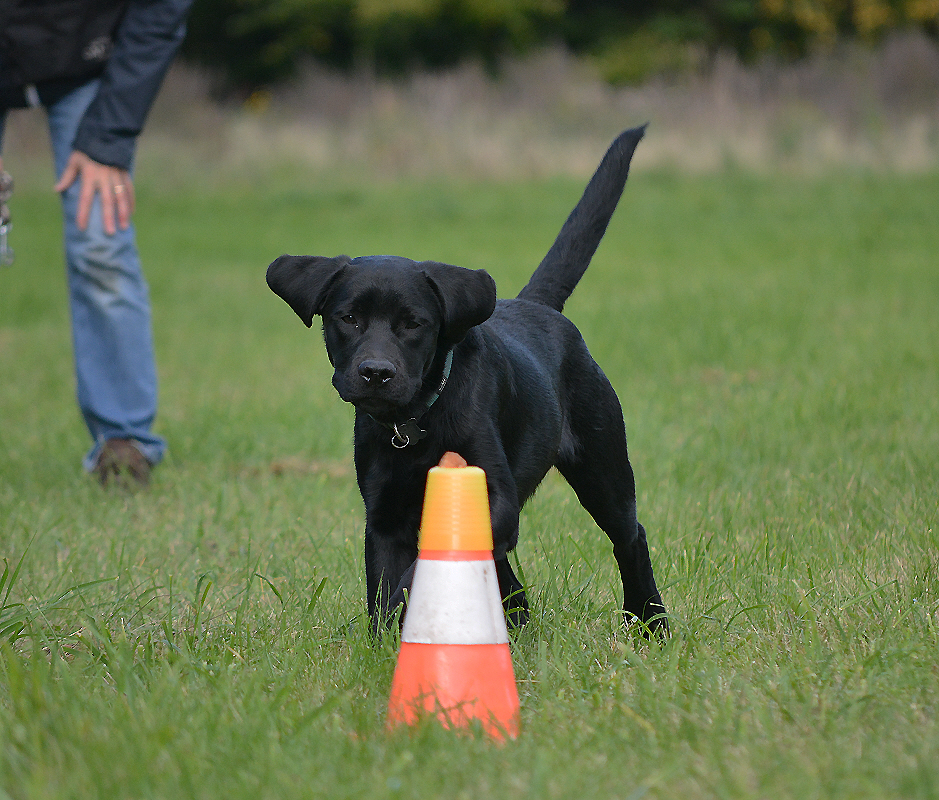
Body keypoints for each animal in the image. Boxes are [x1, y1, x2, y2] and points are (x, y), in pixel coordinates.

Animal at [266, 125, 668, 636]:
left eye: (413, 323)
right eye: (349, 318)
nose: (376, 372)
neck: (415, 423)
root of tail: (539, 306)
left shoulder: (496, 496)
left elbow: (418, 574)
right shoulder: (384, 514)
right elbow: (390, 581)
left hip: (603, 465)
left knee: (629, 536)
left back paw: (650, 620)